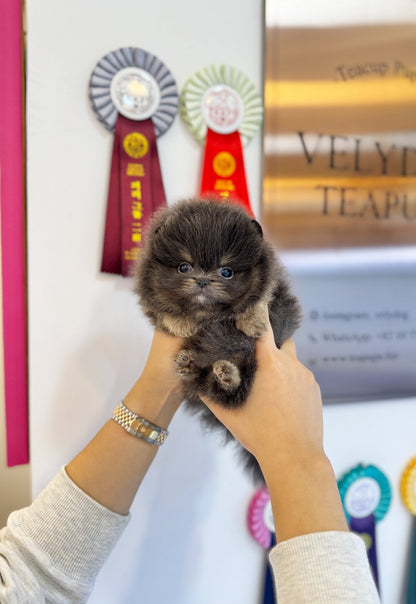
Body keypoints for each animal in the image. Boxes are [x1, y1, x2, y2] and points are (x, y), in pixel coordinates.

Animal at [136, 201, 302, 484]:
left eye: (227, 272)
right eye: (184, 267)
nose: (203, 280)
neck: (210, 315)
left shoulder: (279, 302)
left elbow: (261, 297)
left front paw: (252, 320)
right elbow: (162, 311)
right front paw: (181, 322)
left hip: (245, 371)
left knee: (232, 391)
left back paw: (226, 374)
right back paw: (195, 366)